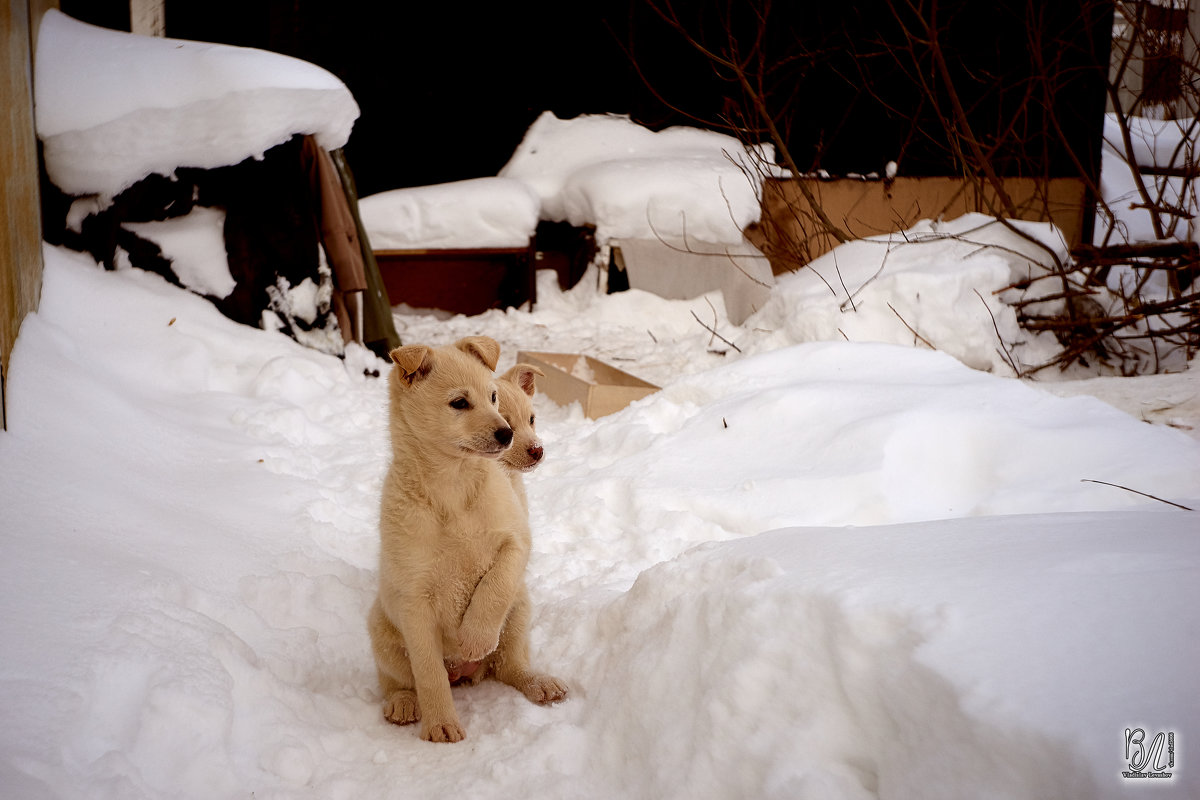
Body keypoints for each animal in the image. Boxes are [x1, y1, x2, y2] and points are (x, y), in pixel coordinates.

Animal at [367, 335, 568, 743]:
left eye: (492, 397)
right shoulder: (414, 602)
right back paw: (403, 704)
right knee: (399, 680)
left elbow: (495, 585)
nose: (507, 434)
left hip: (519, 612)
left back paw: (537, 682)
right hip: (381, 631)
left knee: (509, 664)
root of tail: (464, 673)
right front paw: (441, 724)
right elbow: (429, 675)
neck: (454, 485)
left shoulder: (516, 540)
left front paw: (474, 636)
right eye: (460, 403)